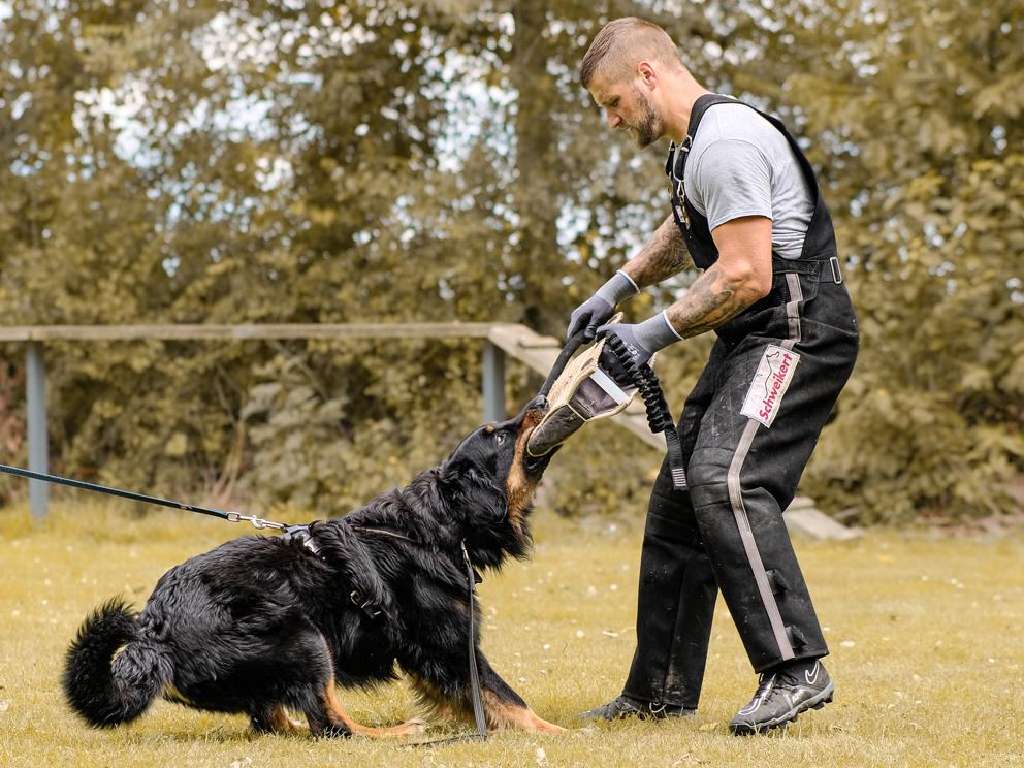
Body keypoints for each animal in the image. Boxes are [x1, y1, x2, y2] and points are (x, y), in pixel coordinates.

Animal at [62, 398, 565, 738]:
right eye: (499, 436)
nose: (540, 403)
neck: (435, 525)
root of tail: (154, 631)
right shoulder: (451, 648)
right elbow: (508, 698)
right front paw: (559, 735)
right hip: (306, 638)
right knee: (333, 726)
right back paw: (397, 735)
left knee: (276, 722)